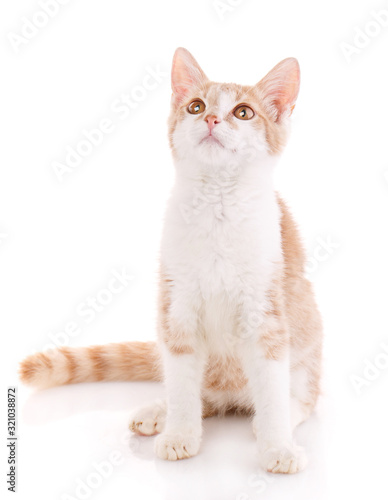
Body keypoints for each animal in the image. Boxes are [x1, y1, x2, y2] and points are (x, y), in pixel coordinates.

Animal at [22, 48, 324, 474]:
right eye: (196, 106)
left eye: (243, 112)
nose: (212, 119)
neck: (217, 205)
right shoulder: (177, 308)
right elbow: (182, 384)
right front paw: (180, 433)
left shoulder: (266, 313)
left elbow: (272, 388)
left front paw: (277, 446)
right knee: (201, 395)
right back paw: (160, 412)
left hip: (308, 342)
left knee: (300, 398)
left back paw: (271, 418)